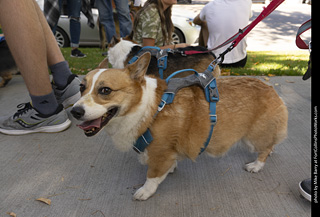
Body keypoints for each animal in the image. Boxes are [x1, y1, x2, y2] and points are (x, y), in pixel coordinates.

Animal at [71, 53, 288, 202]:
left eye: (105, 90)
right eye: (81, 87)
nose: (75, 111)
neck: (147, 108)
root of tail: (271, 89)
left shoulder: (159, 153)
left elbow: (152, 176)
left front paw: (144, 191)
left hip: (253, 138)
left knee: (265, 148)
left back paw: (256, 165)